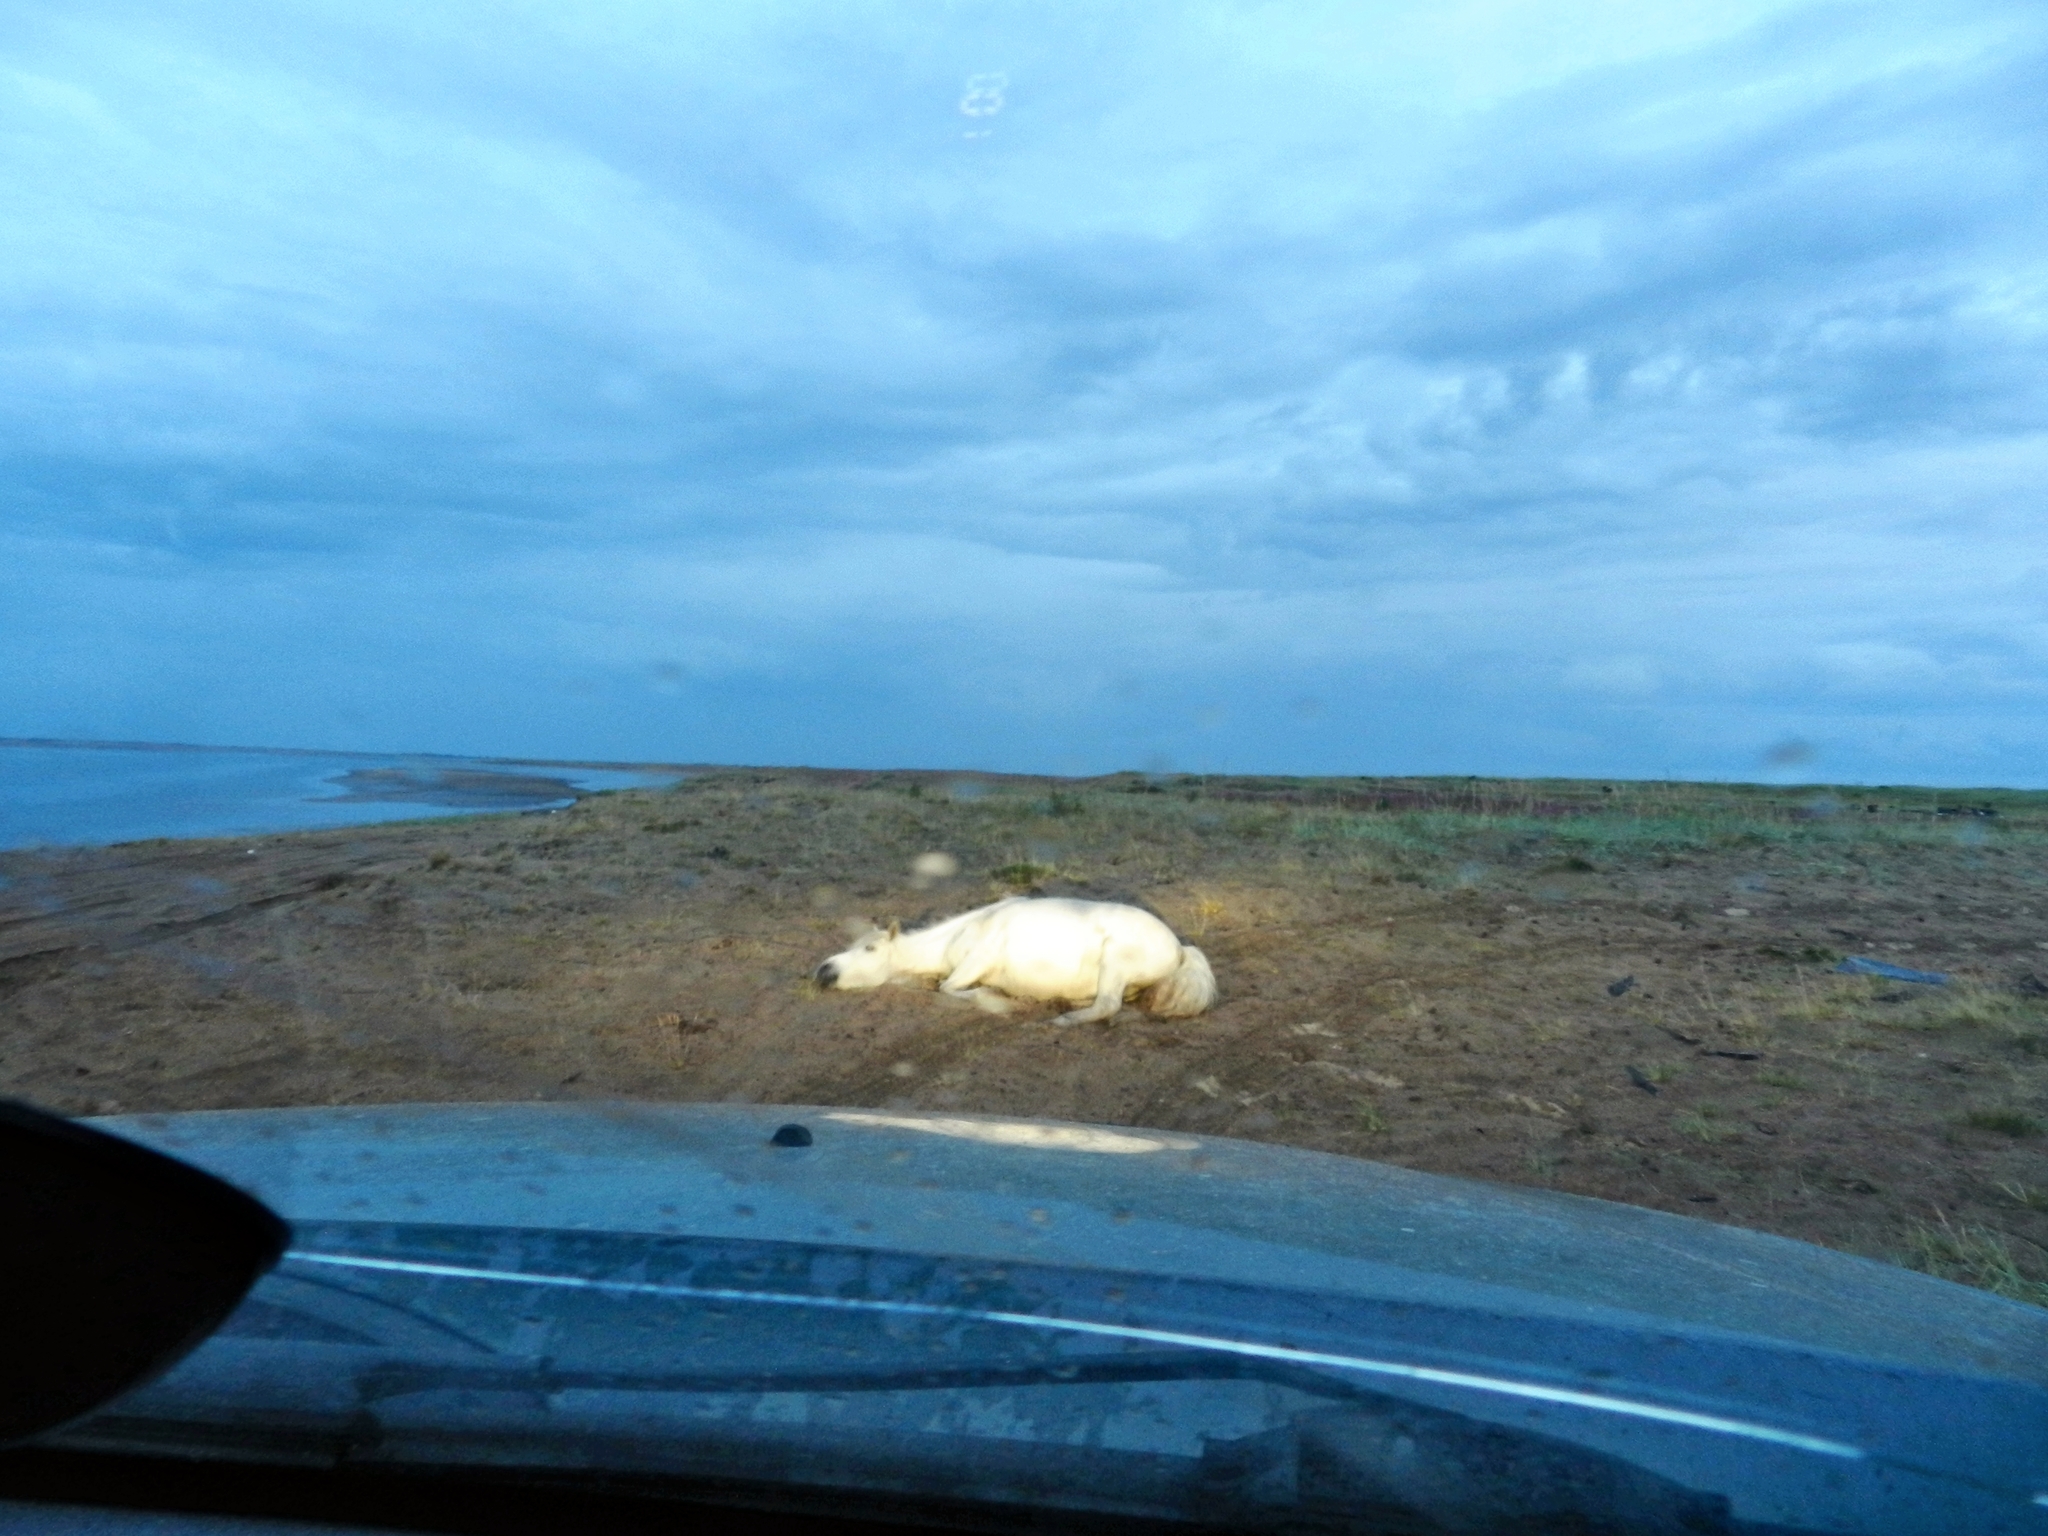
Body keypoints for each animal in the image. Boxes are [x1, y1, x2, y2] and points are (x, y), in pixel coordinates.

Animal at [815, 897, 1212, 1028]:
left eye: (870, 949)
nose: (824, 971)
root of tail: (1179, 947)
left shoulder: (976, 962)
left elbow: (948, 988)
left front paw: (994, 998)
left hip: (1115, 960)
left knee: (1108, 1004)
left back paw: (1064, 1019)